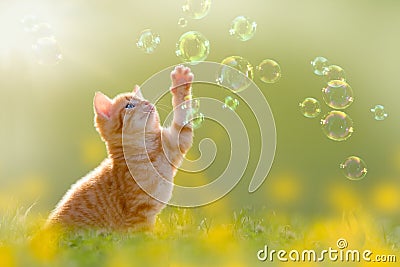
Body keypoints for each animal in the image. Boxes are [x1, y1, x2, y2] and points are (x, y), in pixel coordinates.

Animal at [47, 65, 194, 232]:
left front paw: (181, 82)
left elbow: (183, 119)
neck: (147, 150)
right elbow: (144, 236)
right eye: (129, 106)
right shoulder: (138, 214)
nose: (148, 103)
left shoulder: (176, 141)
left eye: (142, 100)